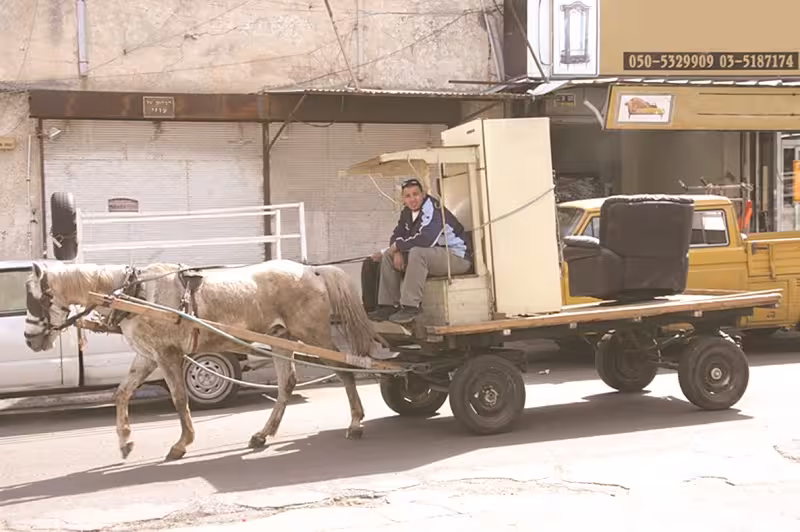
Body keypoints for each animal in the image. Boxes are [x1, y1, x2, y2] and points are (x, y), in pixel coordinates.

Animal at [23, 259, 379, 461]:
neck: (137, 295)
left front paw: (181, 444)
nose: (28, 338)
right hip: (281, 338)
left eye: (35, 298)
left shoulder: (167, 354)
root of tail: (313, 270)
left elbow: (179, 398)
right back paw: (263, 434)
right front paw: (125, 441)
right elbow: (122, 393)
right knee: (286, 384)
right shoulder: (147, 355)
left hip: (314, 334)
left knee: (344, 370)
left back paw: (355, 423)